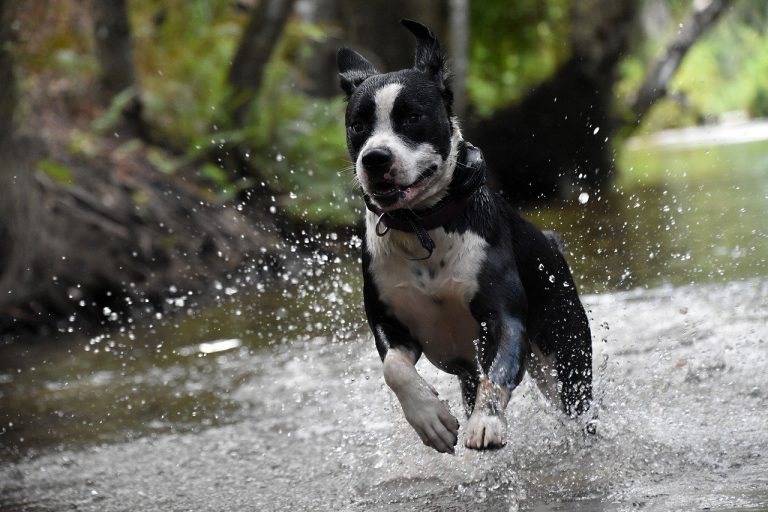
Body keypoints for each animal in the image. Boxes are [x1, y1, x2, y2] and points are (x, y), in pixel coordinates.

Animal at [336, 19, 592, 452]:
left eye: (412, 117)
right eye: (358, 125)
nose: (375, 158)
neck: (424, 227)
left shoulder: (504, 318)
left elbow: (499, 372)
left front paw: (486, 421)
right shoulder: (390, 324)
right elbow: (395, 369)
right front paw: (430, 418)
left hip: (568, 357)